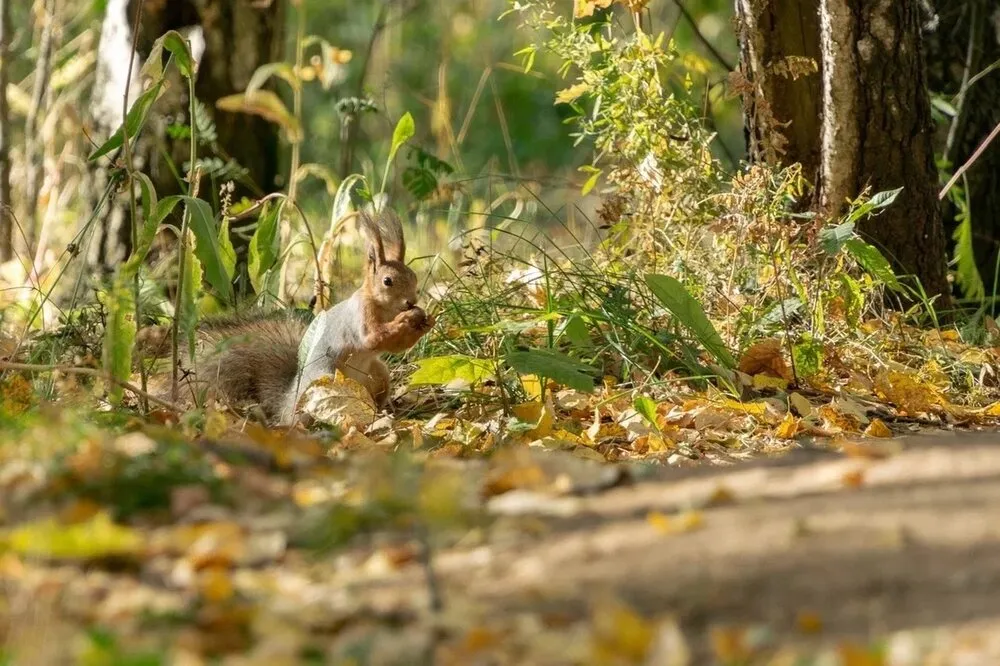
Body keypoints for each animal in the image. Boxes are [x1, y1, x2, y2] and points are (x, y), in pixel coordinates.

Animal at [158, 208, 432, 422]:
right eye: (387, 281)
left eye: (413, 277)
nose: (411, 301)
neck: (385, 308)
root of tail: (287, 404)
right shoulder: (359, 316)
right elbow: (373, 338)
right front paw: (406, 321)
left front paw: (425, 320)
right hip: (326, 380)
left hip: (379, 375)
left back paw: (383, 411)